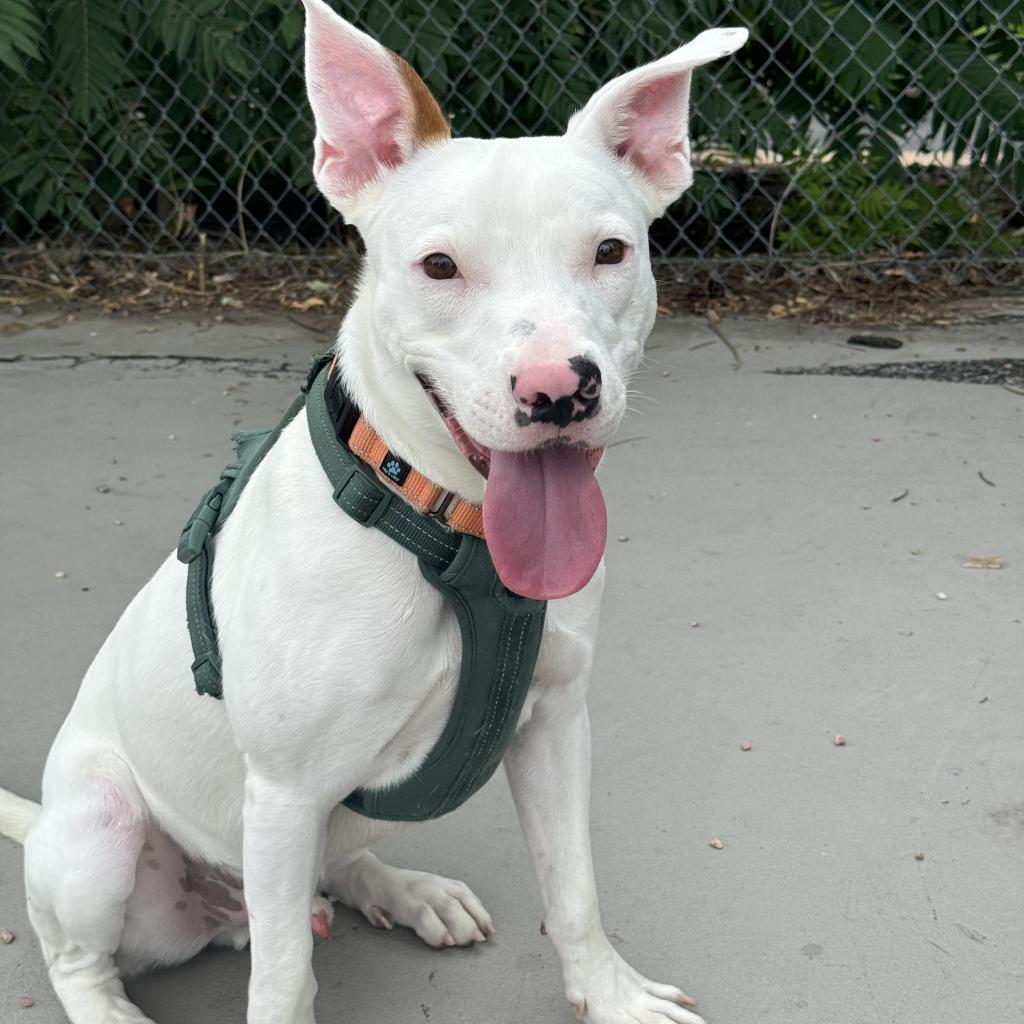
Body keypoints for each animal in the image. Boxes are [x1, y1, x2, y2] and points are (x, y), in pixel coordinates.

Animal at [2, 4, 745, 1019]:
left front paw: (610, 994)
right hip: (106, 828)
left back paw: (406, 891)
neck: (447, 525)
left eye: (610, 252)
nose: (559, 391)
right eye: (439, 265)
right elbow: (283, 982)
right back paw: (113, 1003)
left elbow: (575, 889)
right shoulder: (280, 792)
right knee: (88, 953)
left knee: (333, 870)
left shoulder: (556, 726)